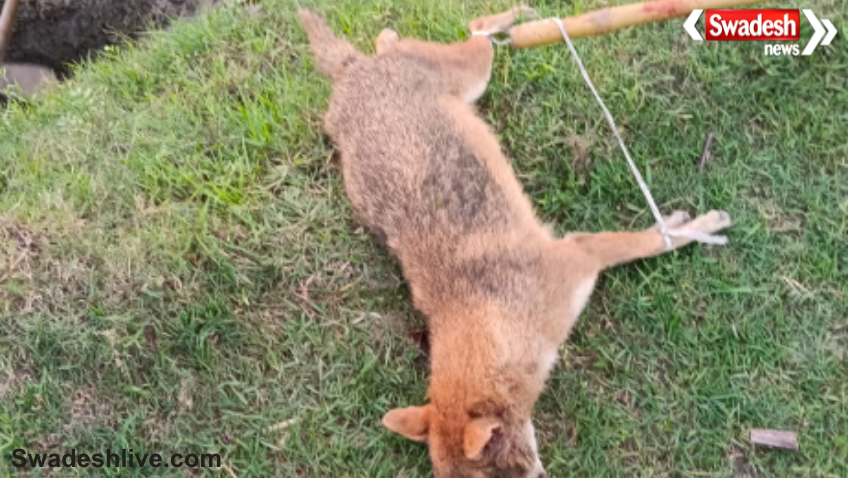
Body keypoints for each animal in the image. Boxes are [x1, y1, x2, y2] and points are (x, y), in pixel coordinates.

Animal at [297, 6, 732, 478]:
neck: (496, 318)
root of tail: (352, 71)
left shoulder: (579, 252)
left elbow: (658, 240)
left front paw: (700, 225)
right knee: (409, 35)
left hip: (476, 71)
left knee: (475, 25)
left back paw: (513, 19)